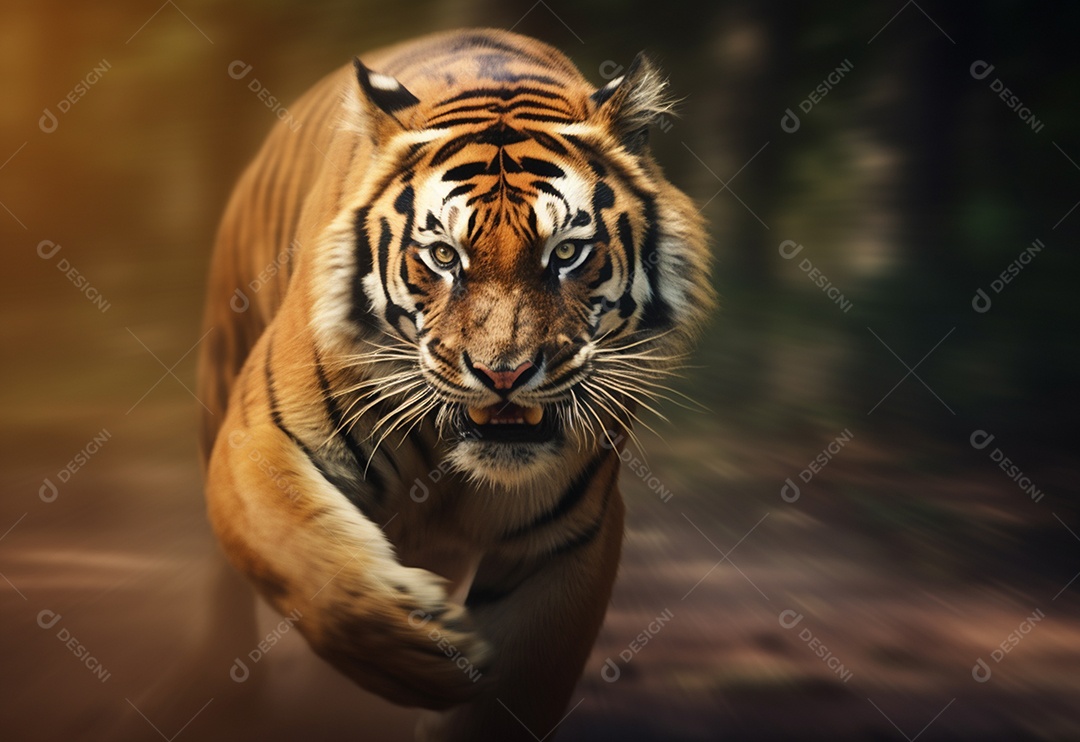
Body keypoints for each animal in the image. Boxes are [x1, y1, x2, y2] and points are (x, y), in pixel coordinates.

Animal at [197, 28, 713, 741]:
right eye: (444, 256)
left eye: (566, 253)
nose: (505, 373)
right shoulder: (261, 439)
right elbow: (311, 561)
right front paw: (423, 651)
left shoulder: (568, 540)